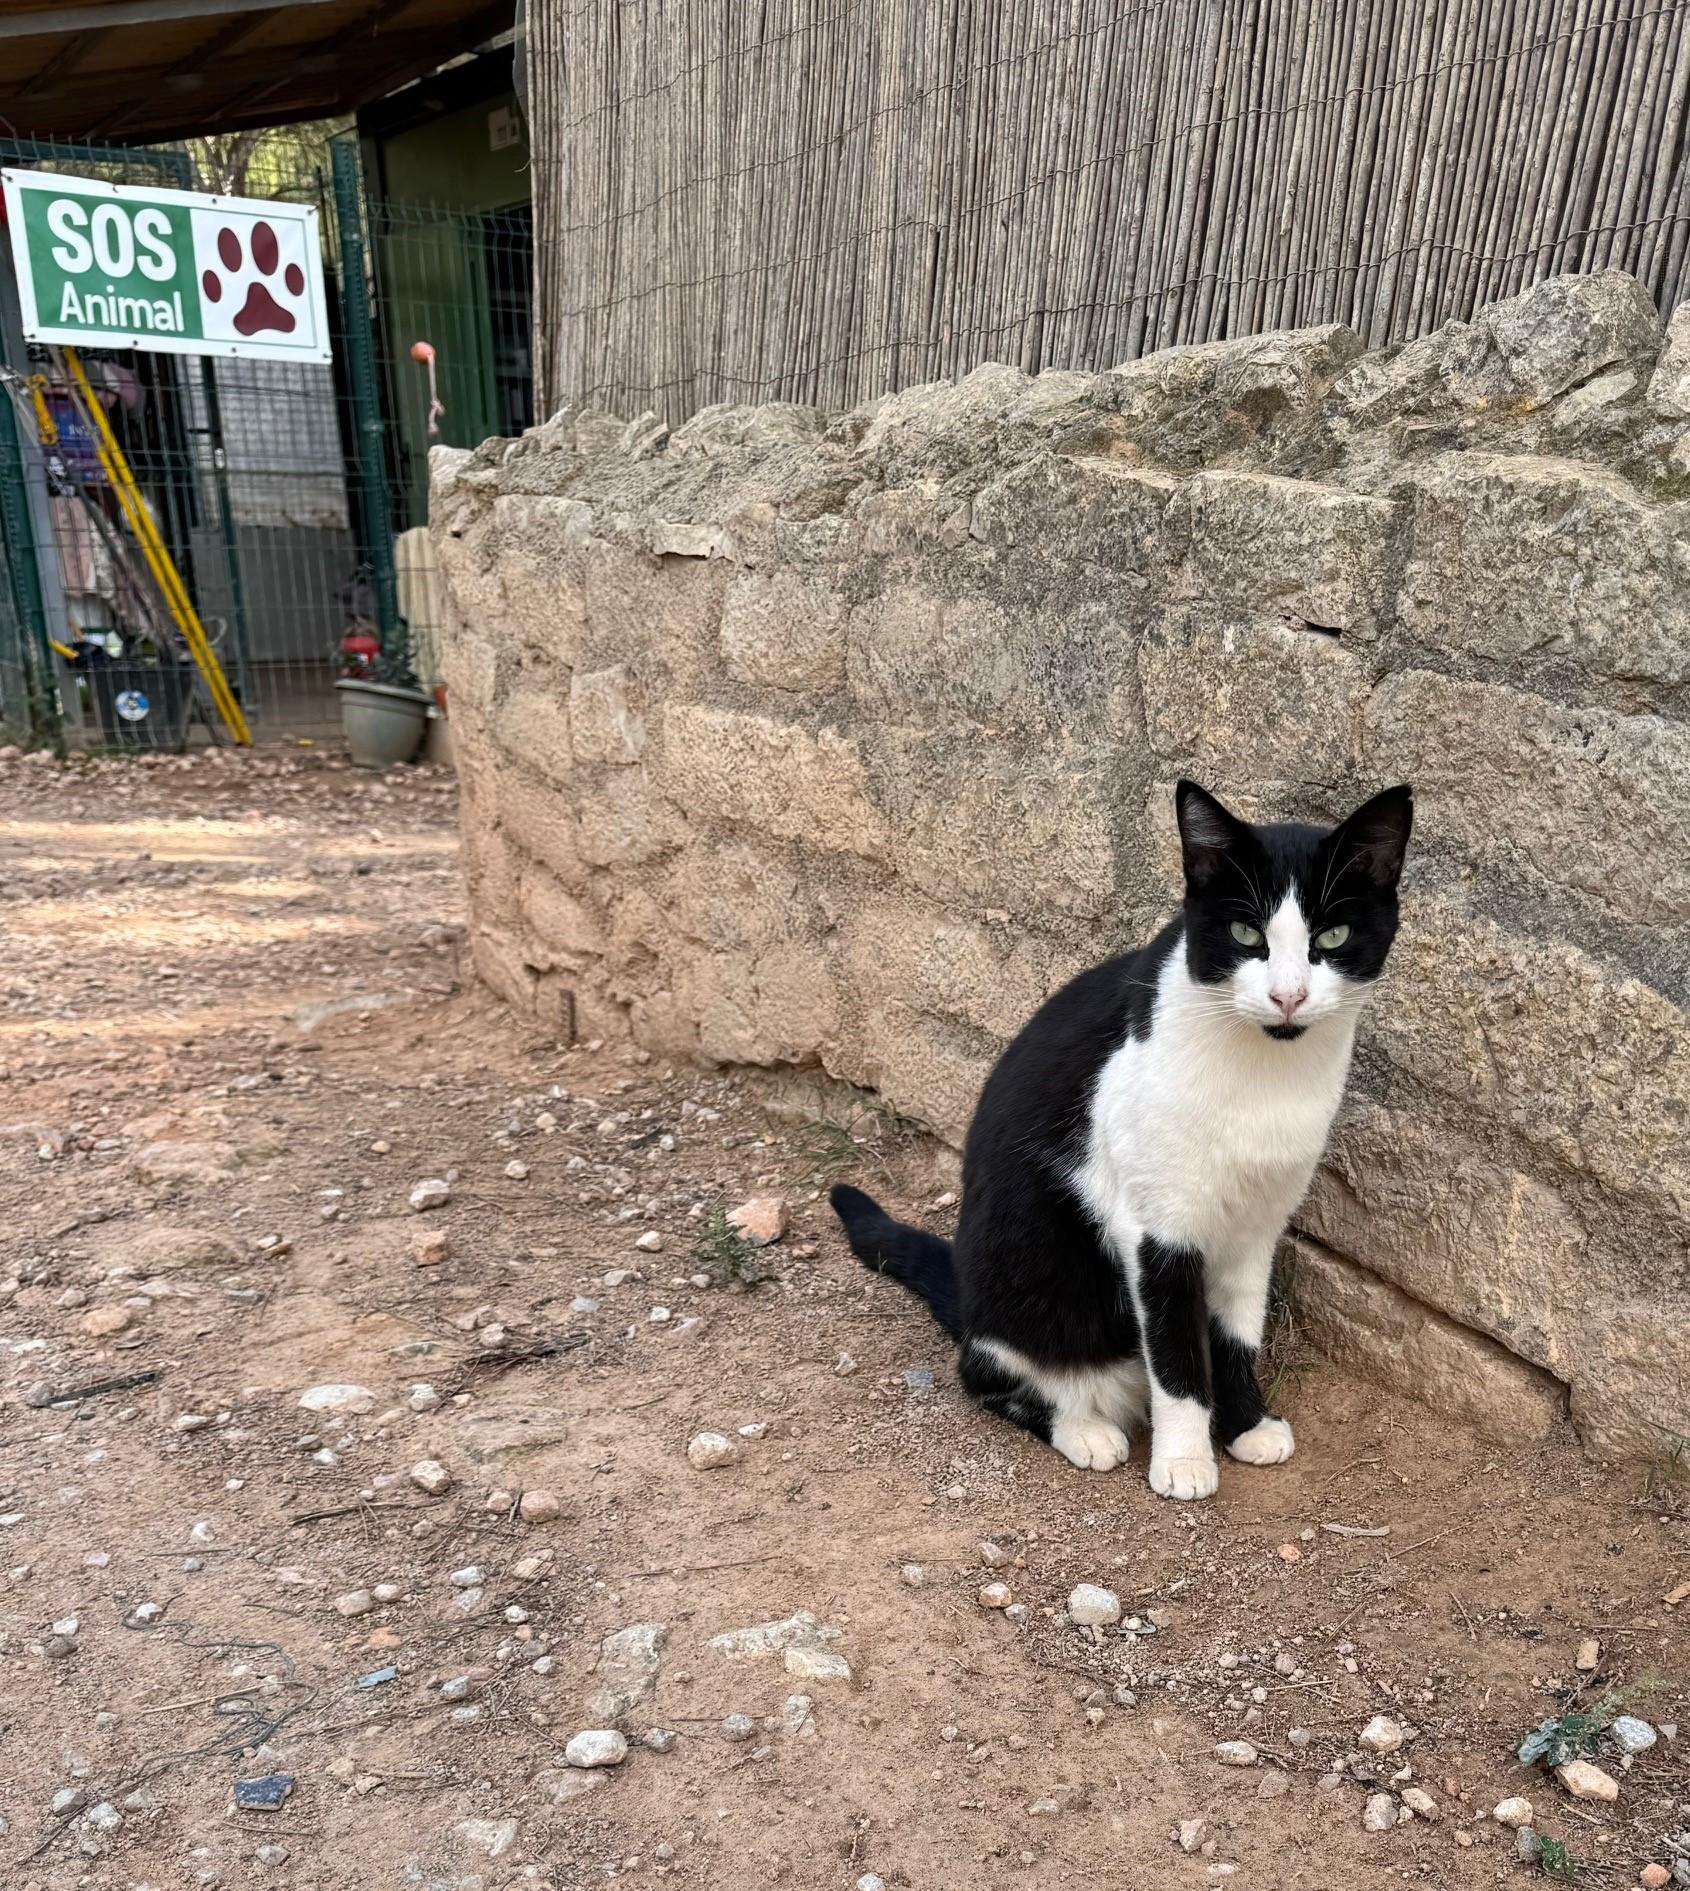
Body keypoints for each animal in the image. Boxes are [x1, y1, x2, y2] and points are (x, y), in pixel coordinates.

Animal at [831, 775, 1414, 1497]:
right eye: (1245, 931)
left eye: (1332, 935)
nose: (1287, 997)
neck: (1264, 1076)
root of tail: (968, 1303)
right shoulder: (1156, 1230)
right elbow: (1177, 1356)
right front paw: (1185, 1460)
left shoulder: (1255, 1227)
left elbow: (1234, 1338)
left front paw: (1245, 1425)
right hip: (1021, 1298)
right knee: (988, 1374)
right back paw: (1083, 1428)